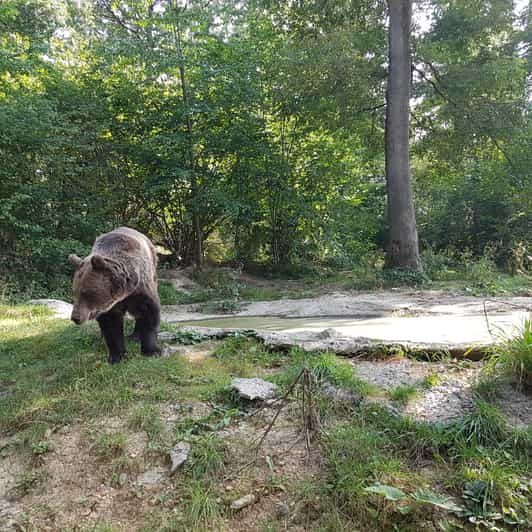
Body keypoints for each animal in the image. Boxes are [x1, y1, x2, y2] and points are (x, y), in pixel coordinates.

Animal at [68, 227, 161, 364]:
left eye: (87, 293)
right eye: (75, 292)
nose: (75, 317)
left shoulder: (141, 289)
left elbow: (149, 312)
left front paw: (152, 351)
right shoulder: (109, 305)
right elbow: (111, 325)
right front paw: (118, 356)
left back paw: (135, 336)